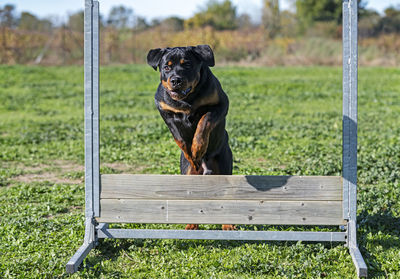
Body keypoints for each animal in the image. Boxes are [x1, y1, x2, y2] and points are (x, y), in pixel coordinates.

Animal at [147, 44, 234, 232]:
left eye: (186, 65)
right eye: (166, 67)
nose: (175, 80)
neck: (187, 100)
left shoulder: (221, 104)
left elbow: (204, 122)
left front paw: (198, 148)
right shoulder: (165, 111)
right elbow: (178, 137)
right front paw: (190, 153)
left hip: (224, 165)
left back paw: (228, 225)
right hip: (187, 173)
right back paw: (191, 224)